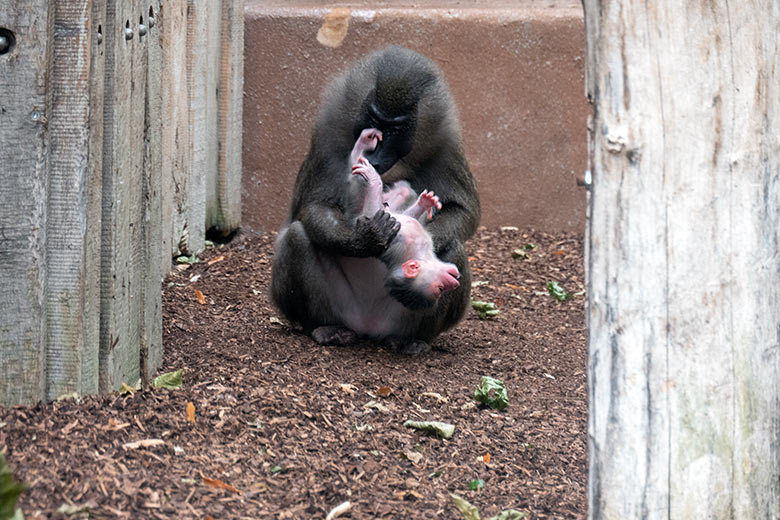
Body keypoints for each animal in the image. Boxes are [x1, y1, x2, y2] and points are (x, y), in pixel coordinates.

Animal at [274, 45, 482, 354]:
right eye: (374, 120)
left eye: (396, 130)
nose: (375, 155)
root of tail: (367, 326)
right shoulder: (327, 135)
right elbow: (313, 206)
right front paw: (364, 241)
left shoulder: (445, 144)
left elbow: (464, 210)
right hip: (339, 307)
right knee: (297, 236)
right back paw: (325, 328)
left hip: (398, 319)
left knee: (454, 246)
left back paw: (411, 340)